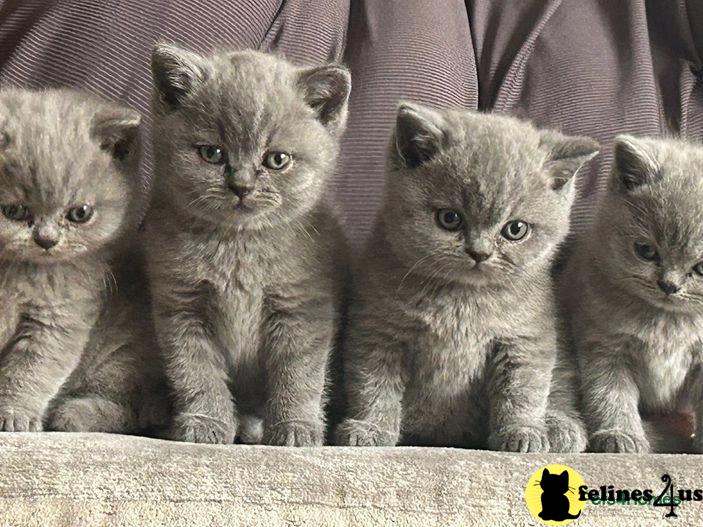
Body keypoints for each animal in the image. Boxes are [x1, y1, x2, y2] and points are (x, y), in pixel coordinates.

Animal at [0, 87, 160, 434]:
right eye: (14, 211)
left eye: (79, 213)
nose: (46, 239)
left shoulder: (60, 318)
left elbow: (31, 370)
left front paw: (14, 415)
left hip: (121, 353)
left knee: (135, 410)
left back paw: (75, 413)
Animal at [146, 44, 352, 446]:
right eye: (212, 153)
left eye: (277, 159)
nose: (241, 186)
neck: (238, 247)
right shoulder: (181, 305)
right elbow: (194, 370)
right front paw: (205, 421)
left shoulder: (302, 307)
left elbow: (300, 373)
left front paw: (294, 427)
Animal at [332, 104, 596, 454]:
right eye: (450, 218)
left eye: (515, 229)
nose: (479, 252)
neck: (463, 299)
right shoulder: (379, 331)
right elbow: (373, 385)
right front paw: (369, 428)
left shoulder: (526, 337)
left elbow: (523, 389)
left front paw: (522, 432)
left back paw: (558, 427)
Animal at [564, 135, 703, 454]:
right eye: (646, 251)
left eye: (701, 267)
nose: (669, 285)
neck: (667, 322)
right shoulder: (604, 345)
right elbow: (609, 394)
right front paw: (619, 435)